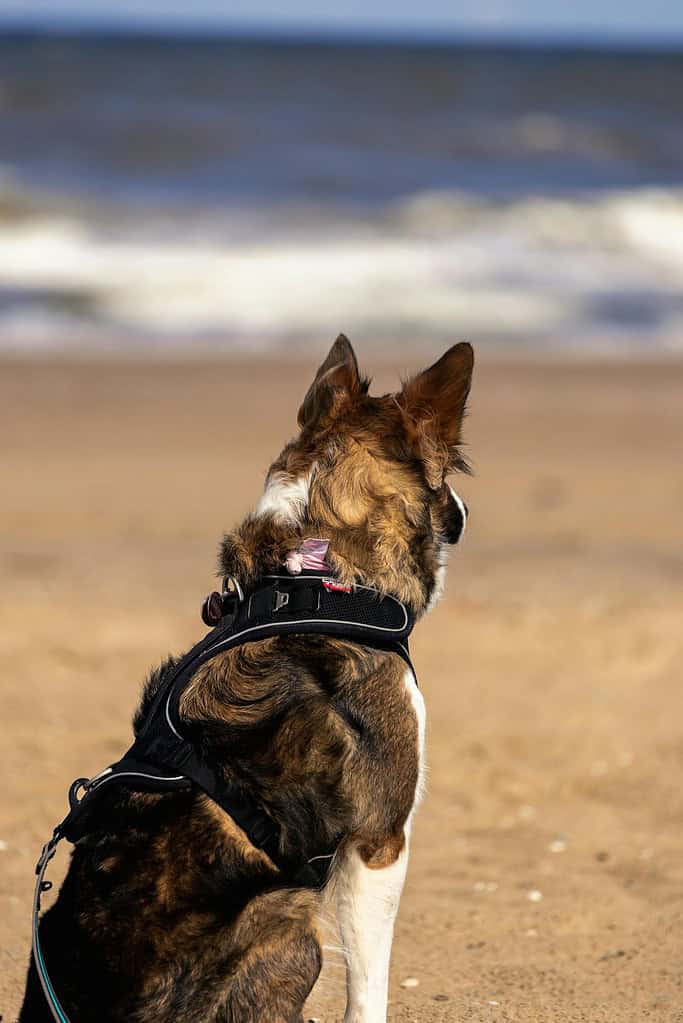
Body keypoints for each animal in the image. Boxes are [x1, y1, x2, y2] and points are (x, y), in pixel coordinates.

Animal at [18, 335, 472, 1023]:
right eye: (445, 480)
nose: (465, 514)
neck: (314, 578)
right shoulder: (380, 839)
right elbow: (368, 986)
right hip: (289, 925)